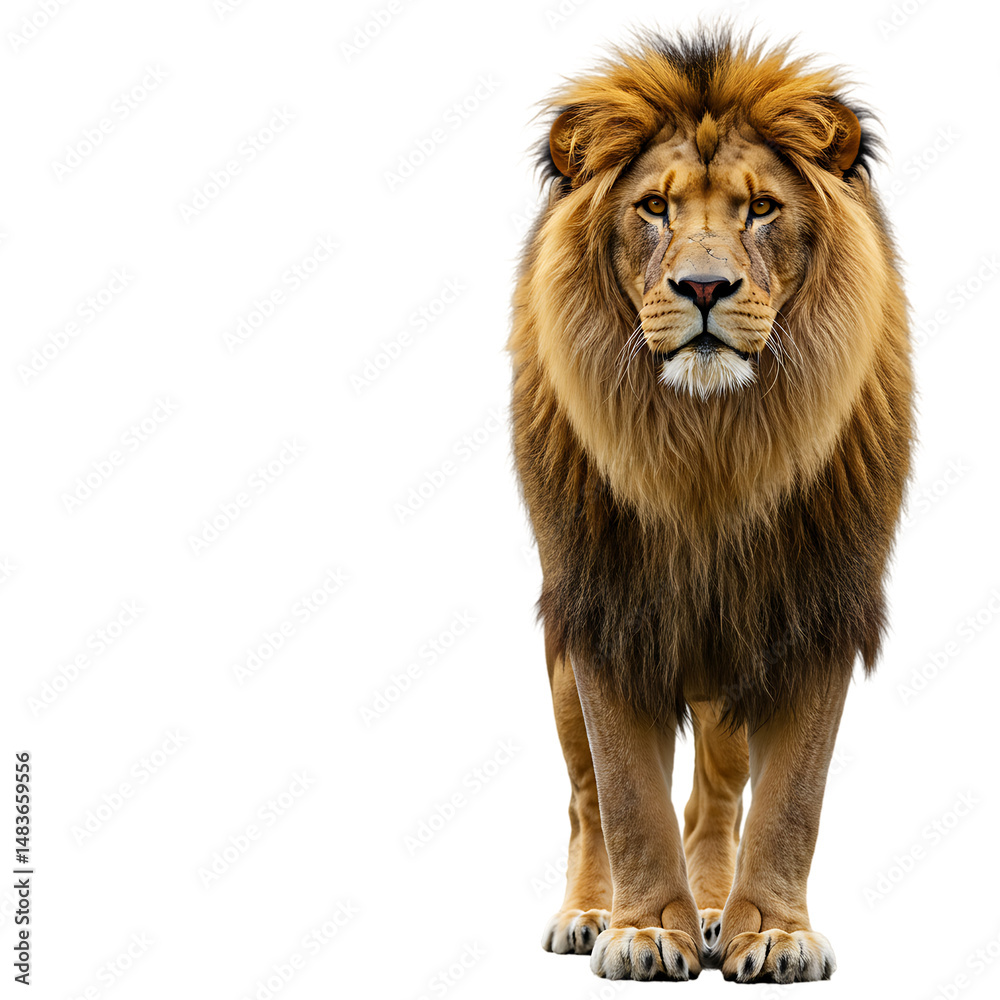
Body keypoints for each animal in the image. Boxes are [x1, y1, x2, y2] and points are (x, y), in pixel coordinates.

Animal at [508, 28, 913, 984]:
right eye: (654, 207)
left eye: (761, 208)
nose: (701, 288)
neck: (712, 446)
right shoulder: (605, 606)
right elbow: (626, 797)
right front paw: (645, 929)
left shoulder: (815, 608)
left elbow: (793, 798)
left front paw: (774, 932)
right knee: (585, 799)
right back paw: (589, 912)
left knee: (718, 799)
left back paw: (720, 911)